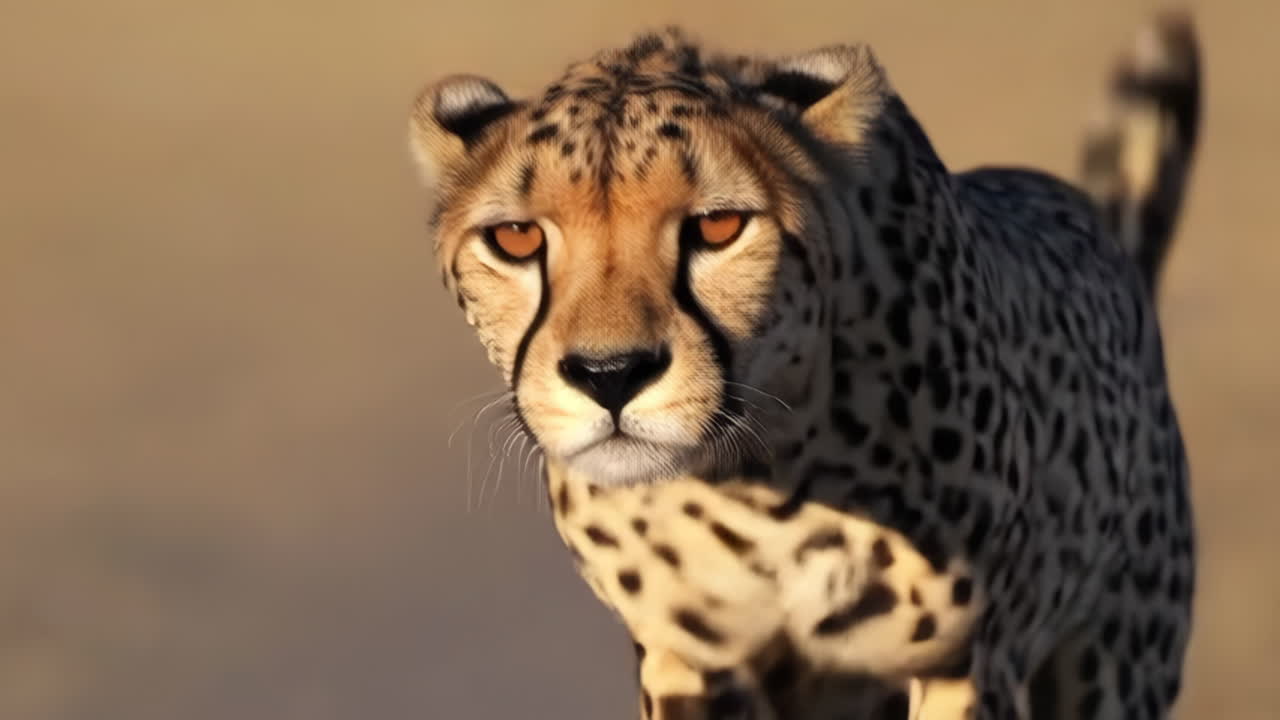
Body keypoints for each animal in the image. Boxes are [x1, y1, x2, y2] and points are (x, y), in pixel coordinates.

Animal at [407, 10, 1200, 719]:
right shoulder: (687, 657)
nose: (611, 375)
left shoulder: (963, 662)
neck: (758, 483)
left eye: (719, 226)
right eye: (515, 238)